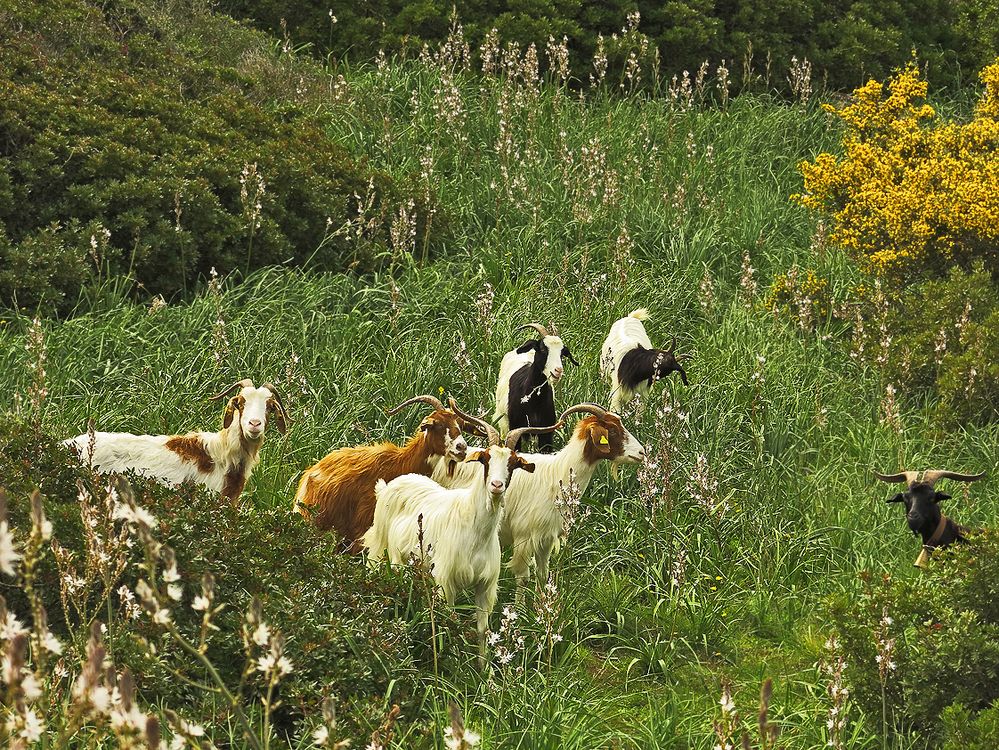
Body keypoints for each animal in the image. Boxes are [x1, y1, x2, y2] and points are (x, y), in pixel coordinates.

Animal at [292, 396, 482, 556]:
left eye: (460, 426)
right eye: (439, 425)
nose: (461, 448)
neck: (400, 463)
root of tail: (308, 476)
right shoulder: (363, 530)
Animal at [364, 406, 560, 664]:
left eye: (513, 463)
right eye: (485, 459)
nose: (496, 485)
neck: (474, 530)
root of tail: (389, 486)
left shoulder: (485, 587)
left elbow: (482, 629)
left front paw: (484, 669)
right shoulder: (445, 581)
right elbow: (450, 621)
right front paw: (453, 660)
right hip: (384, 551)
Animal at [436, 402, 640, 596]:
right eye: (612, 430)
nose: (642, 453)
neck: (558, 474)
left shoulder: (545, 539)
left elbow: (543, 575)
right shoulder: (524, 538)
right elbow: (523, 578)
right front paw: (519, 607)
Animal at [490, 322, 580, 456]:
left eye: (562, 353)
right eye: (543, 349)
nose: (558, 371)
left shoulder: (546, 433)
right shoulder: (514, 428)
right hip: (503, 422)